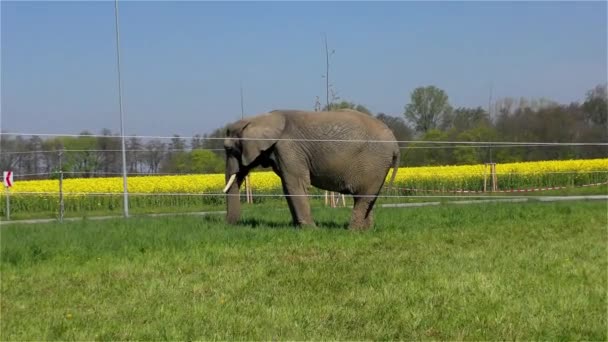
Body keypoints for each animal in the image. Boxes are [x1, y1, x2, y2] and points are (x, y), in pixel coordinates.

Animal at [221, 108, 402, 228]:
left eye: (228, 149)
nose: (230, 225)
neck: (259, 119)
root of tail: (395, 144)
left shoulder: (288, 148)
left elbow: (295, 184)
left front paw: (310, 230)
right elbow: (288, 187)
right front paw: (298, 228)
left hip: (374, 162)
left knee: (363, 197)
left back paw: (352, 232)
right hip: (378, 166)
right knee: (367, 197)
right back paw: (365, 231)